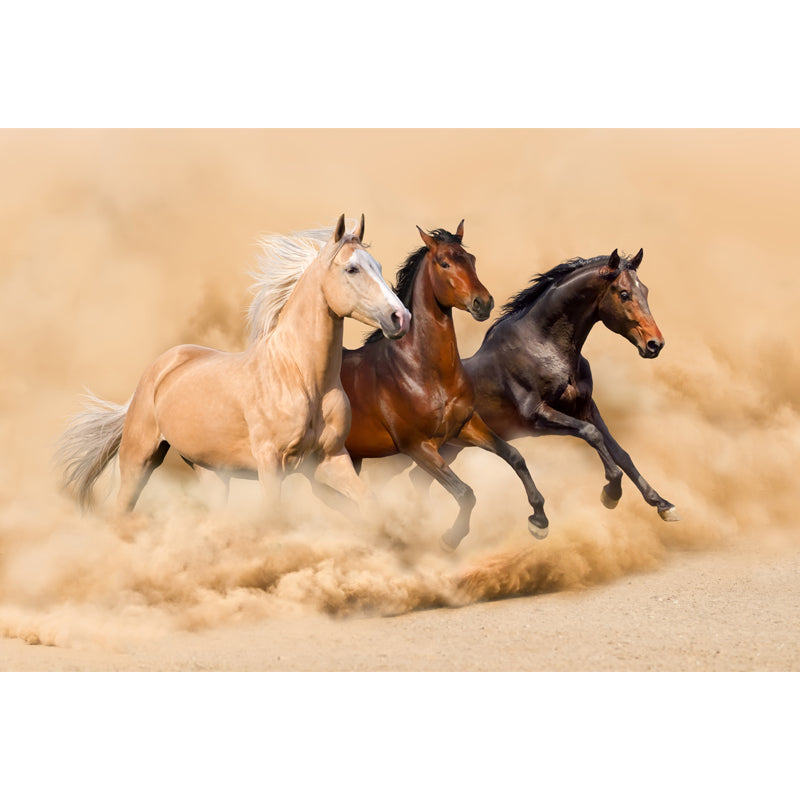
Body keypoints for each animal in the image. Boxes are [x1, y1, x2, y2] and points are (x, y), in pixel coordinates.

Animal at [57, 214, 411, 518]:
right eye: (352, 269)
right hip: (139, 459)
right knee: (122, 508)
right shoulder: (271, 463)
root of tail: (161, 367)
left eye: (378, 266)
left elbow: (368, 502)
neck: (302, 378)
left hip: (212, 472)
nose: (400, 317)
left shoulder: (331, 459)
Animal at [339, 222, 549, 551]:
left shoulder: (465, 426)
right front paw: (451, 537)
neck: (423, 372)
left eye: (471, 259)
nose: (483, 302)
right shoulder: (418, 446)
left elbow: (514, 456)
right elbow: (465, 492)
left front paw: (539, 520)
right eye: (444, 262)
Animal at [417, 248, 679, 522]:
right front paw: (611, 492)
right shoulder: (537, 416)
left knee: (419, 479)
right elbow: (591, 434)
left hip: (449, 448)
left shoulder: (585, 408)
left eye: (645, 291)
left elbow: (621, 453)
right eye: (624, 294)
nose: (655, 344)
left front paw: (662, 504)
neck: (545, 347)